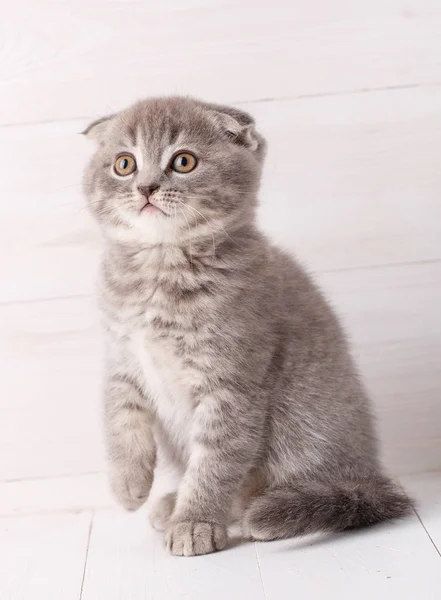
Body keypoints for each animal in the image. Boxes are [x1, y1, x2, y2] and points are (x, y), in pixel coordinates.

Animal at [82, 95, 412, 556]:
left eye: (183, 161)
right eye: (124, 164)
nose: (145, 187)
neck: (161, 269)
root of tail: (366, 476)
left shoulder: (232, 382)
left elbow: (215, 461)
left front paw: (195, 522)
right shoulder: (121, 358)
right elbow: (120, 422)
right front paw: (128, 485)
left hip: (303, 425)